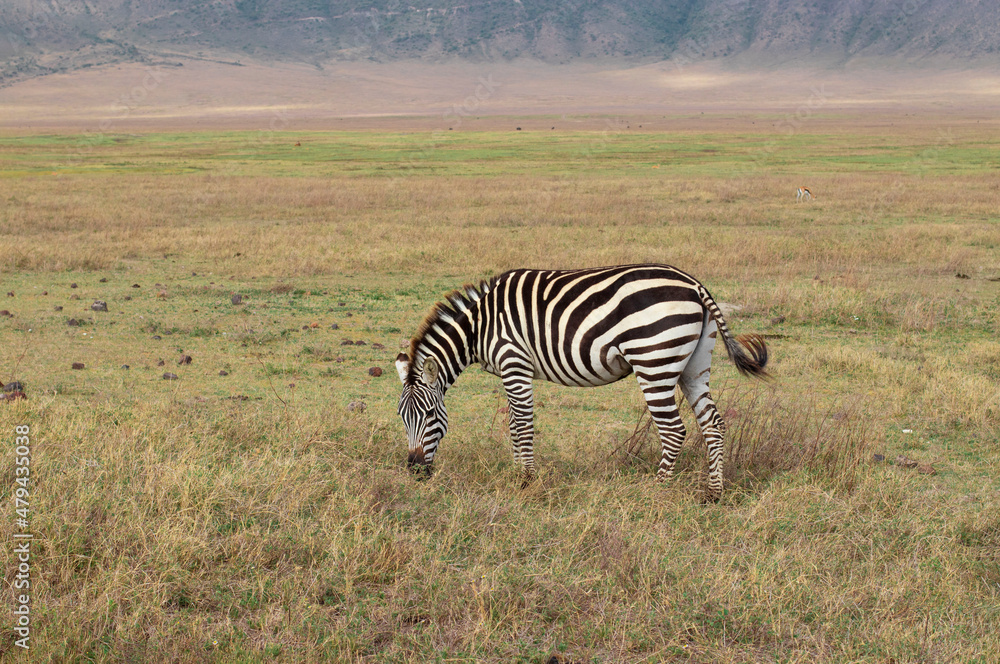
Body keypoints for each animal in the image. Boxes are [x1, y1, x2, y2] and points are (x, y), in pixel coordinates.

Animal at [395, 264, 769, 501]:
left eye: (431, 416)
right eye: (402, 418)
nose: (414, 472)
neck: (479, 326)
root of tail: (694, 285)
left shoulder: (514, 362)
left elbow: (523, 425)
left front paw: (526, 481)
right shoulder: (510, 371)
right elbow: (514, 426)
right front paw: (517, 473)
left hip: (654, 362)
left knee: (674, 430)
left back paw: (657, 490)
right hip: (694, 365)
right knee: (713, 424)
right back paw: (713, 493)